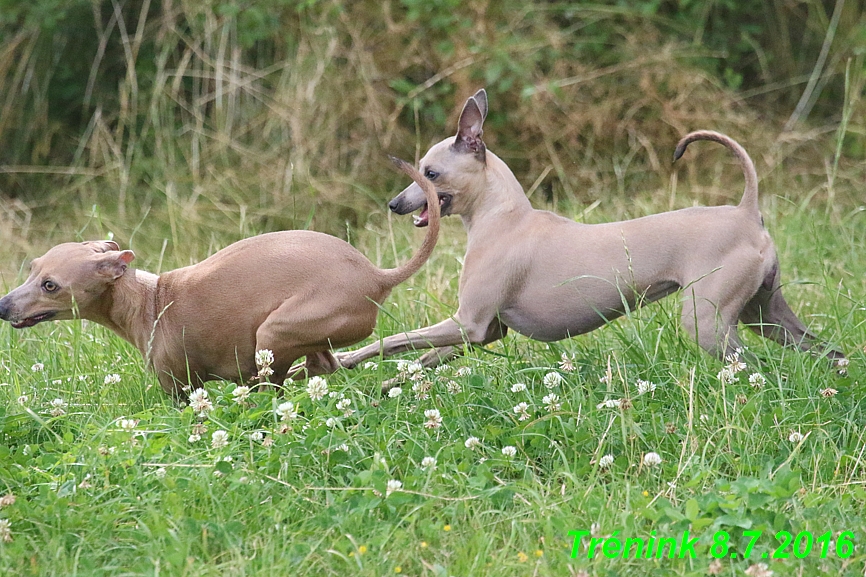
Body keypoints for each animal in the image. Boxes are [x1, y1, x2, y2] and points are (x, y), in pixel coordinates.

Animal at [1, 158, 438, 396]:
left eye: (51, 285)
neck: (148, 301)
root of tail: (377, 275)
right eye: (31, 267)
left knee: (280, 379)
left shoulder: (179, 388)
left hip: (275, 331)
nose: (3, 305)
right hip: (305, 338)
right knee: (323, 364)